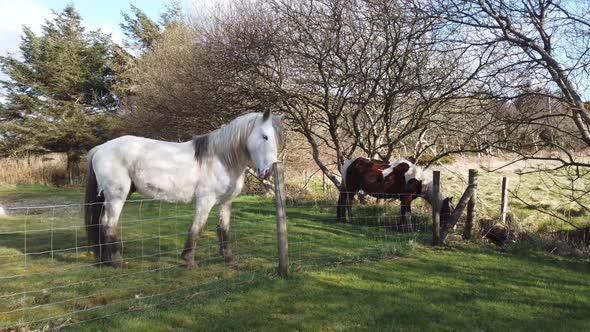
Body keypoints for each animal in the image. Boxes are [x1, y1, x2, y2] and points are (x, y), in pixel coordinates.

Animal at [85, 110, 284, 268]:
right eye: (265, 136)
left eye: (277, 138)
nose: (269, 169)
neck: (220, 159)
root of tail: (100, 148)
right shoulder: (205, 201)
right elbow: (197, 228)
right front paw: (188, 260)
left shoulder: (226, 202)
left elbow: (224, 229)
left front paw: (228, 258)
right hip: (116, 196)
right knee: (109, 224)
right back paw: (117, 262)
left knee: (100, 223)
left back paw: (105, 260)